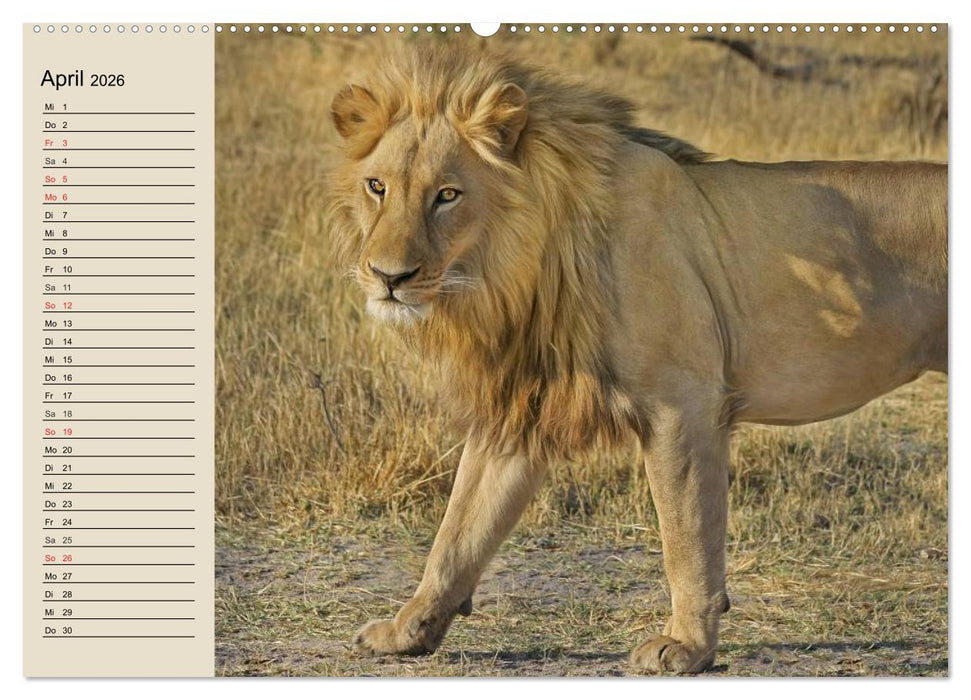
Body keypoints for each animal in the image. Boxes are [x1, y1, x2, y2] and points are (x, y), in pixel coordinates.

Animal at [327, 45, 947, 673]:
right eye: (377, 186)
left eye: (448, 195)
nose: (389, 277)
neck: (517, 269)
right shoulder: (523, 407)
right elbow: (459, 531)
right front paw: (407, 632)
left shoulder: (682, 404)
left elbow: (686, 536)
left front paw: (687, 646)